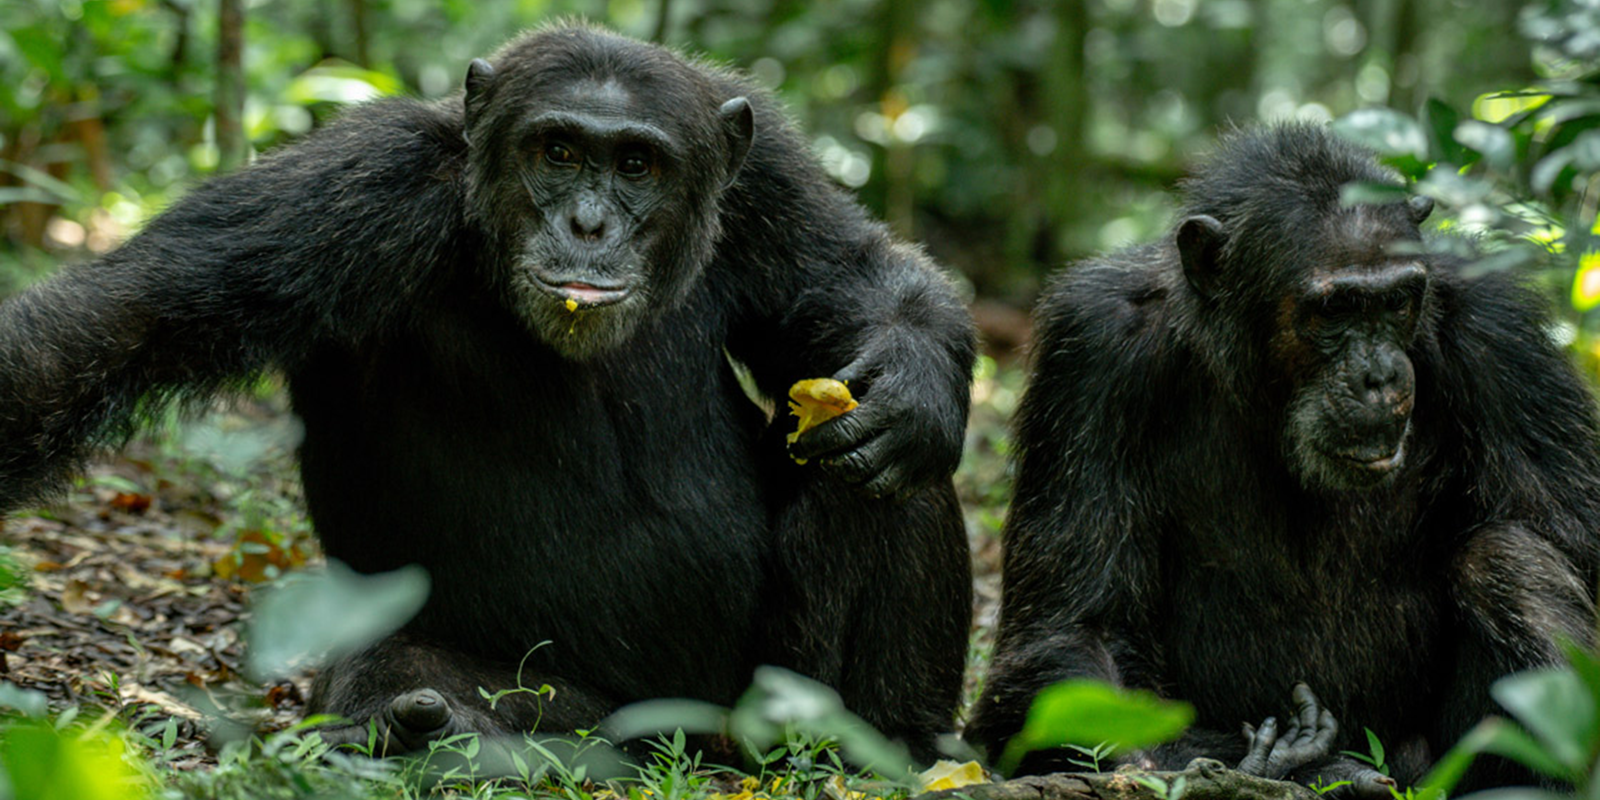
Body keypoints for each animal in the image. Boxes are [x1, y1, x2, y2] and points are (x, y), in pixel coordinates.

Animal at [0, 25, 972, 758]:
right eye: (559, 151)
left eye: (638, 167)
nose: (589, 223)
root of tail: (689, 736)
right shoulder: (357, 185)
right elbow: (127, 320)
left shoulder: (768, 176)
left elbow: (850, 277)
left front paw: (915, 395)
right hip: (584, 710)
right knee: (402, 672)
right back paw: (423, 731)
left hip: (759, 690)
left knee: (883, 480)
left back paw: (880, 743)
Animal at [960, 124, 1600, 793]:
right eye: (1335, 309)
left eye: (1398, 301)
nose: (1379, 375)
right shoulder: (1090, 349)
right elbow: (1074, 631)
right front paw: (1298, 763)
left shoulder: (1502, 336)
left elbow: (1568, 538)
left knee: (1506, 557)